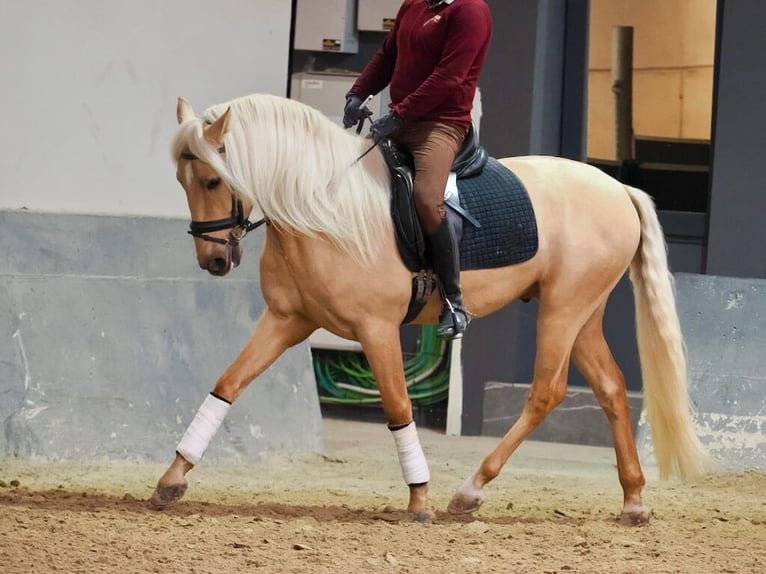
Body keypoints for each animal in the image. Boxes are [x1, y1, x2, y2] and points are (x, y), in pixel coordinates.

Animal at [152, 93, 712, 528]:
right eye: (180, 180)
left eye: (211, 181)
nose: (213, 260)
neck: (321, 208)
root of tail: (618, 188)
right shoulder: (288, 321)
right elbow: (227, 384)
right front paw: (171, 480)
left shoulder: (376, 330)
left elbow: (399, 409)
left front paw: (419, 499)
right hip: (583, 315)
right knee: (612, 388)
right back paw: (633, 500)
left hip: (563, 309)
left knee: (547, 392)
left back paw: (469, 491)